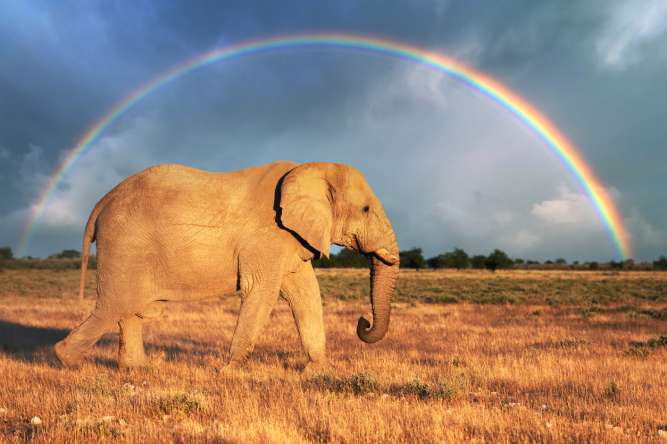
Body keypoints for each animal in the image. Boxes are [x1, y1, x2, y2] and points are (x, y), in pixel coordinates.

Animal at [54, 161, 400, 370]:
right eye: (366, 209)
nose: (362, 322)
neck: (310, 168)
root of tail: (102, 202)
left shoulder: (290, 237)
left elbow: (306, 294)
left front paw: (316, 371)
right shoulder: (267, 235)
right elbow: (261, 293)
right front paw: (230, 372)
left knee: (129, 309)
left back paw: (137, 370)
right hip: (125, 244)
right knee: (114, 305)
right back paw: (67, 362)